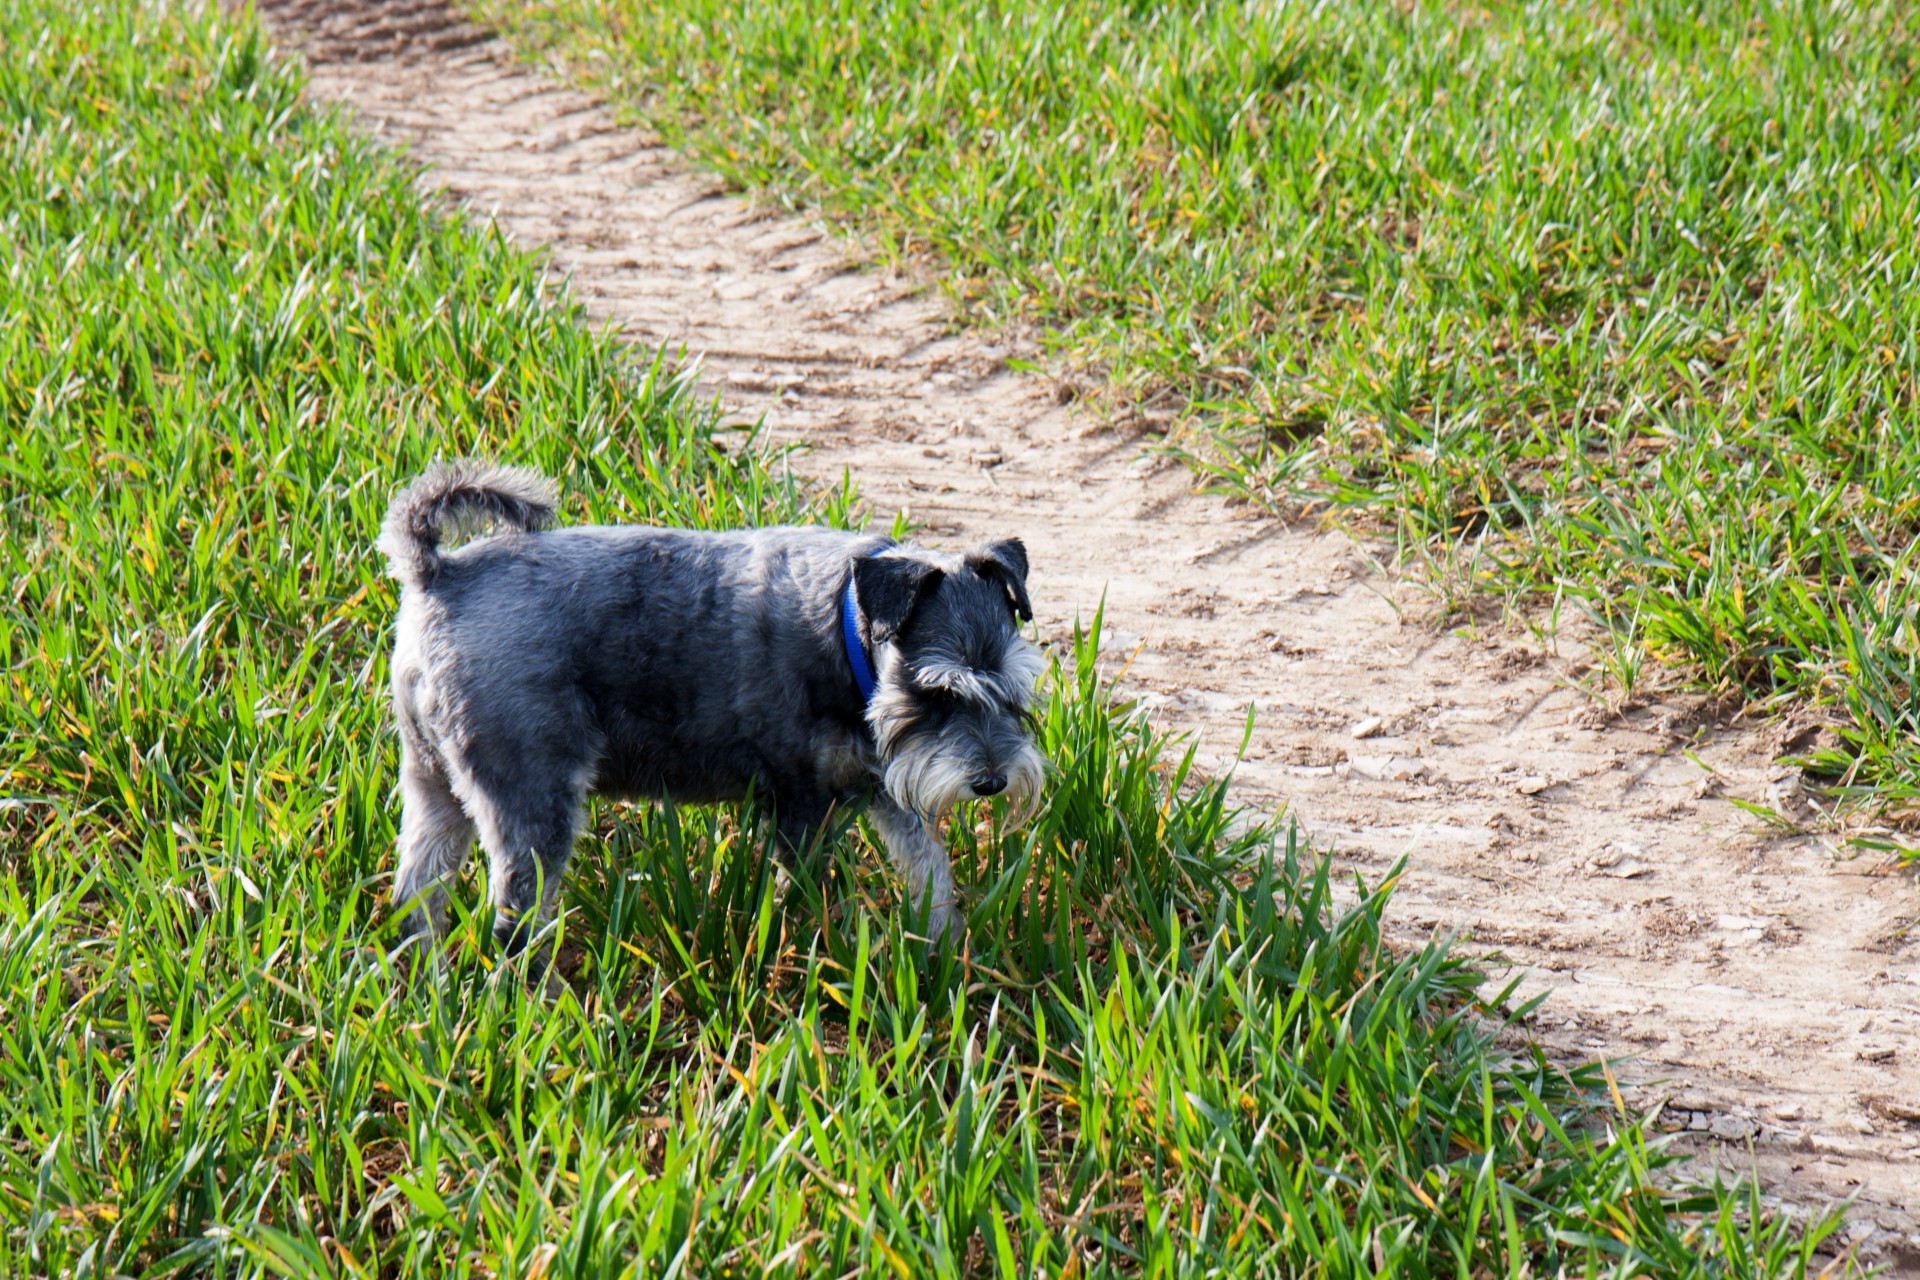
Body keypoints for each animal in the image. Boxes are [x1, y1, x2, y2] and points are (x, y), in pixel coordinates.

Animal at [376, 466, 1052, 974]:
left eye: (1016, 690)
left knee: (415, 899)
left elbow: (930, 869)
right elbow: (811, 892)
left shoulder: (884, 783)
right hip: (532, 800)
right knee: (515, 926)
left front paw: (949, 954)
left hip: (435, 786)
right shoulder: (801, 804)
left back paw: (430, 995)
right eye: (934, 693)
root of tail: (437, 576)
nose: (991, 781)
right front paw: (819, 957)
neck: (847, 630)